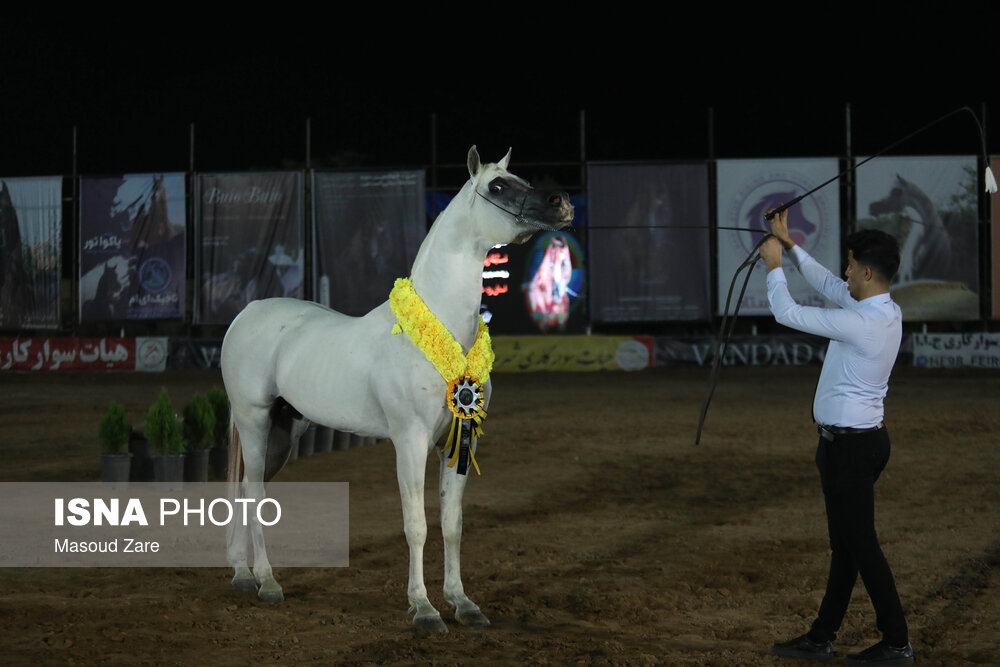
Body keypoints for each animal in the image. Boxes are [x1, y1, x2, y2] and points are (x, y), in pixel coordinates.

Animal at [222, 146, 576, 632]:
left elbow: (451, 523)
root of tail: (247, 313)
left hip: (283, 431)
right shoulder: (409, 442)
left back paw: (243, 575)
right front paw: (424, 609)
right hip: (254, 420)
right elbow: (417, 525)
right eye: (498, 186)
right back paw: (268, 583)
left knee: (243, 490)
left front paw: (462, 603)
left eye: (519, 178)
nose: (562, 203)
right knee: (254, 492)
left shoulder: (459, 442)